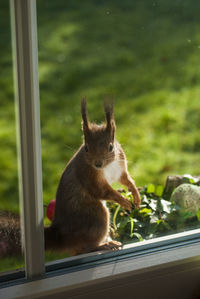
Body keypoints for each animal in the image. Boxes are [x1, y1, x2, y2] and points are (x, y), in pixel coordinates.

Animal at [0, 99, 141, 256]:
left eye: (111, 147)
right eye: (86, 148)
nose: (97, 163)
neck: (107, 166)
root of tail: (62, 238)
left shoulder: (120, 168)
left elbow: (126, 180)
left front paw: (135, 195)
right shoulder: (87, 174)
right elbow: (101, 191)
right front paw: (124, 201)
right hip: (95, 216)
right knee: (87, 247)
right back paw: (105, 244)